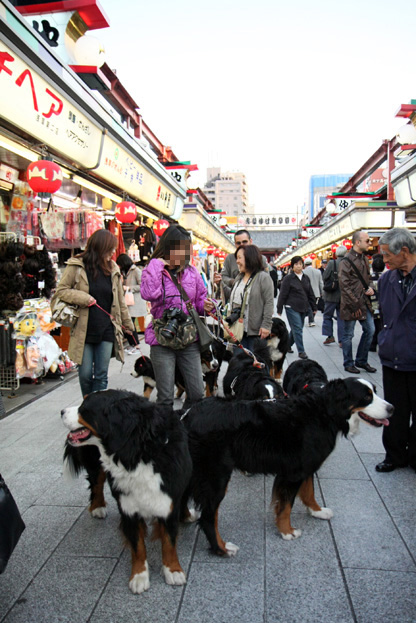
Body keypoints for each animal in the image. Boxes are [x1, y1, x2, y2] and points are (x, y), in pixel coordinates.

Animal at [61, 390, 192, 596]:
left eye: (85, 407)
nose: (61, 411)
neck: (137, 455)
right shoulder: (128, 506)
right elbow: (137, 545)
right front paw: (139, 576)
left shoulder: (169, 501)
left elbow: (169, 541)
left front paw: (173, 570)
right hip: (94, 461)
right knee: (96, 483)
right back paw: (97, 507)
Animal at [184, 378, 394, 560]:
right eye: (366, 397)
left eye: (375, 391)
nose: (391, 409)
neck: (325, 412)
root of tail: (187, 416)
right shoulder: (294, 472)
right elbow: (286, 506)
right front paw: (287, 532)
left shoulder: (306, 465)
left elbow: (309, 492)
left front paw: (317, 511)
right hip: (216, 477)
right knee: (208, 518)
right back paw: (222, 548)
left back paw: (188, 518)